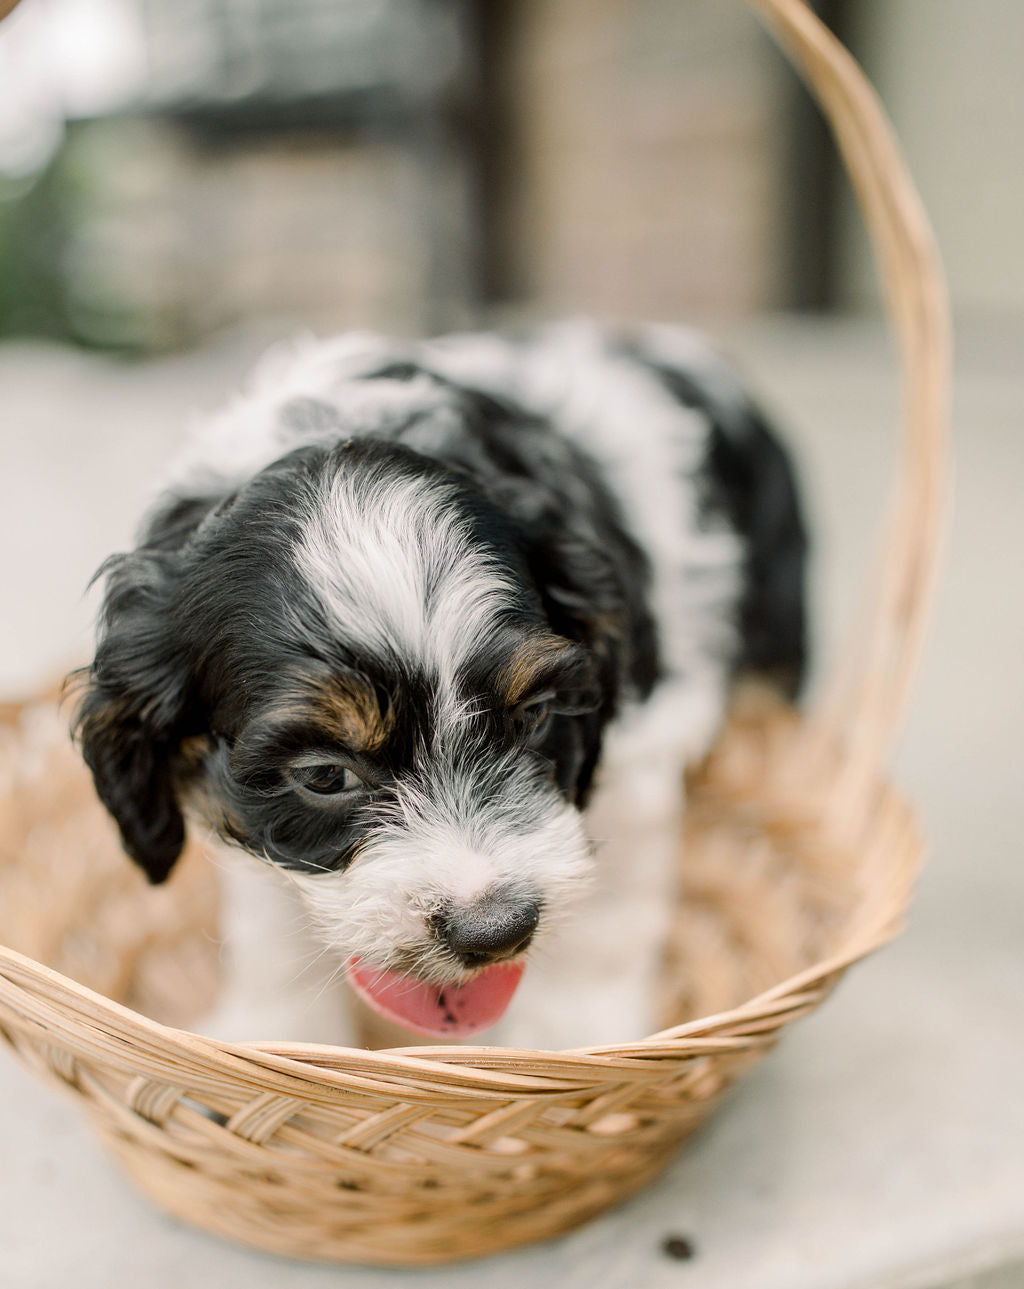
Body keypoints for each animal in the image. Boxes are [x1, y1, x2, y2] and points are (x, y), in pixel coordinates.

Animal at [71, 319, 804, 1046]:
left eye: (535, 715)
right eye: (323, 776)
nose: (496, 930)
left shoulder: (636, 755)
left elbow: (607, 922)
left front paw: (572, 1043)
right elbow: (270, 930)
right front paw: (280, 1034)